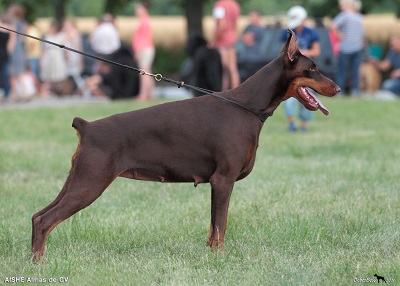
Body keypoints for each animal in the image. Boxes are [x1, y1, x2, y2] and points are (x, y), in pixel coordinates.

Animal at [30, 30, 340, 260]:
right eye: (312, 68)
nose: (337, 88)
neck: (247, 106)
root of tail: (87, 127)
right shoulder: (223, 180)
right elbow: (220, 226)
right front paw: (220, 260)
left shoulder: (219, 183)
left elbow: (213, 229)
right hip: (90, 182)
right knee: (46, 220)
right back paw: (39, 264)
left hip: (77, 179)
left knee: (37, 216)